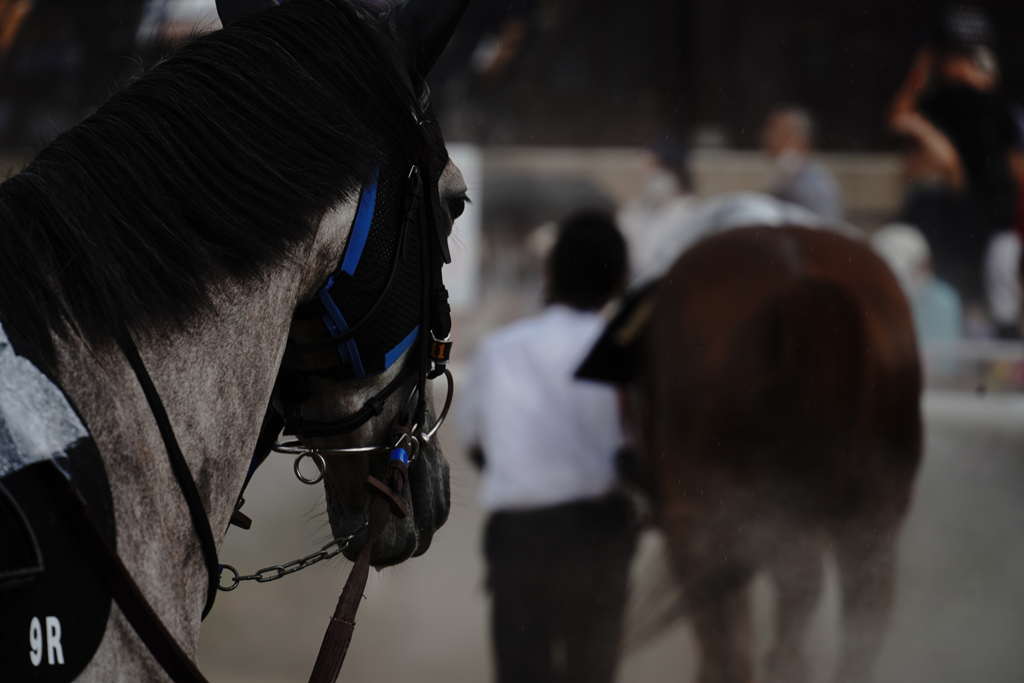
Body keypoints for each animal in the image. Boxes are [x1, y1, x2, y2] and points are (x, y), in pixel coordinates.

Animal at [582, 218, 922, 683]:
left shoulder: (696, 529)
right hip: (870, 514)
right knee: (863, 618)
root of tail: (803, 284)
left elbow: (723, 638)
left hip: (721, 518)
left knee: (781, 609)